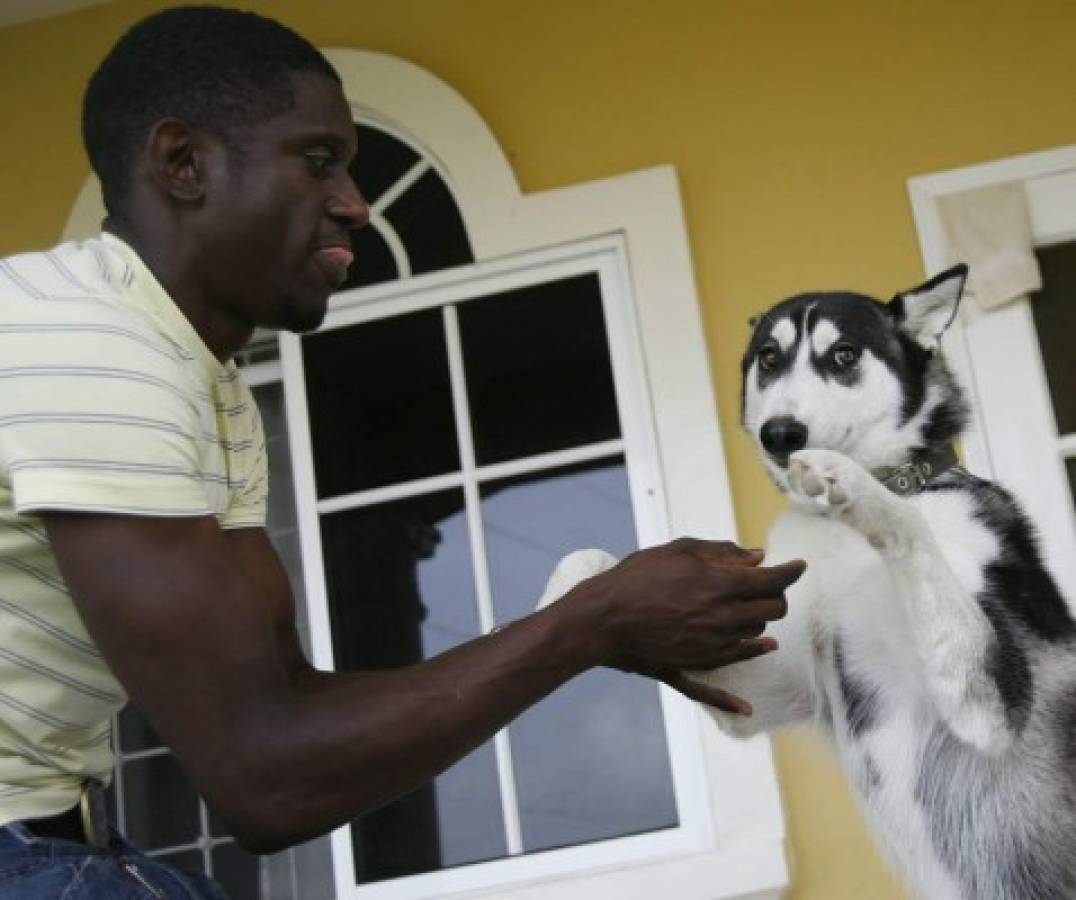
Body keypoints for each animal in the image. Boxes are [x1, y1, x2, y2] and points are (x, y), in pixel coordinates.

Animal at [542, 265, 1076, 900]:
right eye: (769, 358)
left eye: (843, 354)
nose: (780, 433)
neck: (841, 539)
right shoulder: (759, 686)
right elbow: (586, 558)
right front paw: (569, 600)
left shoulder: (991, 704)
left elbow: (908, 520)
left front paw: (848, 479)